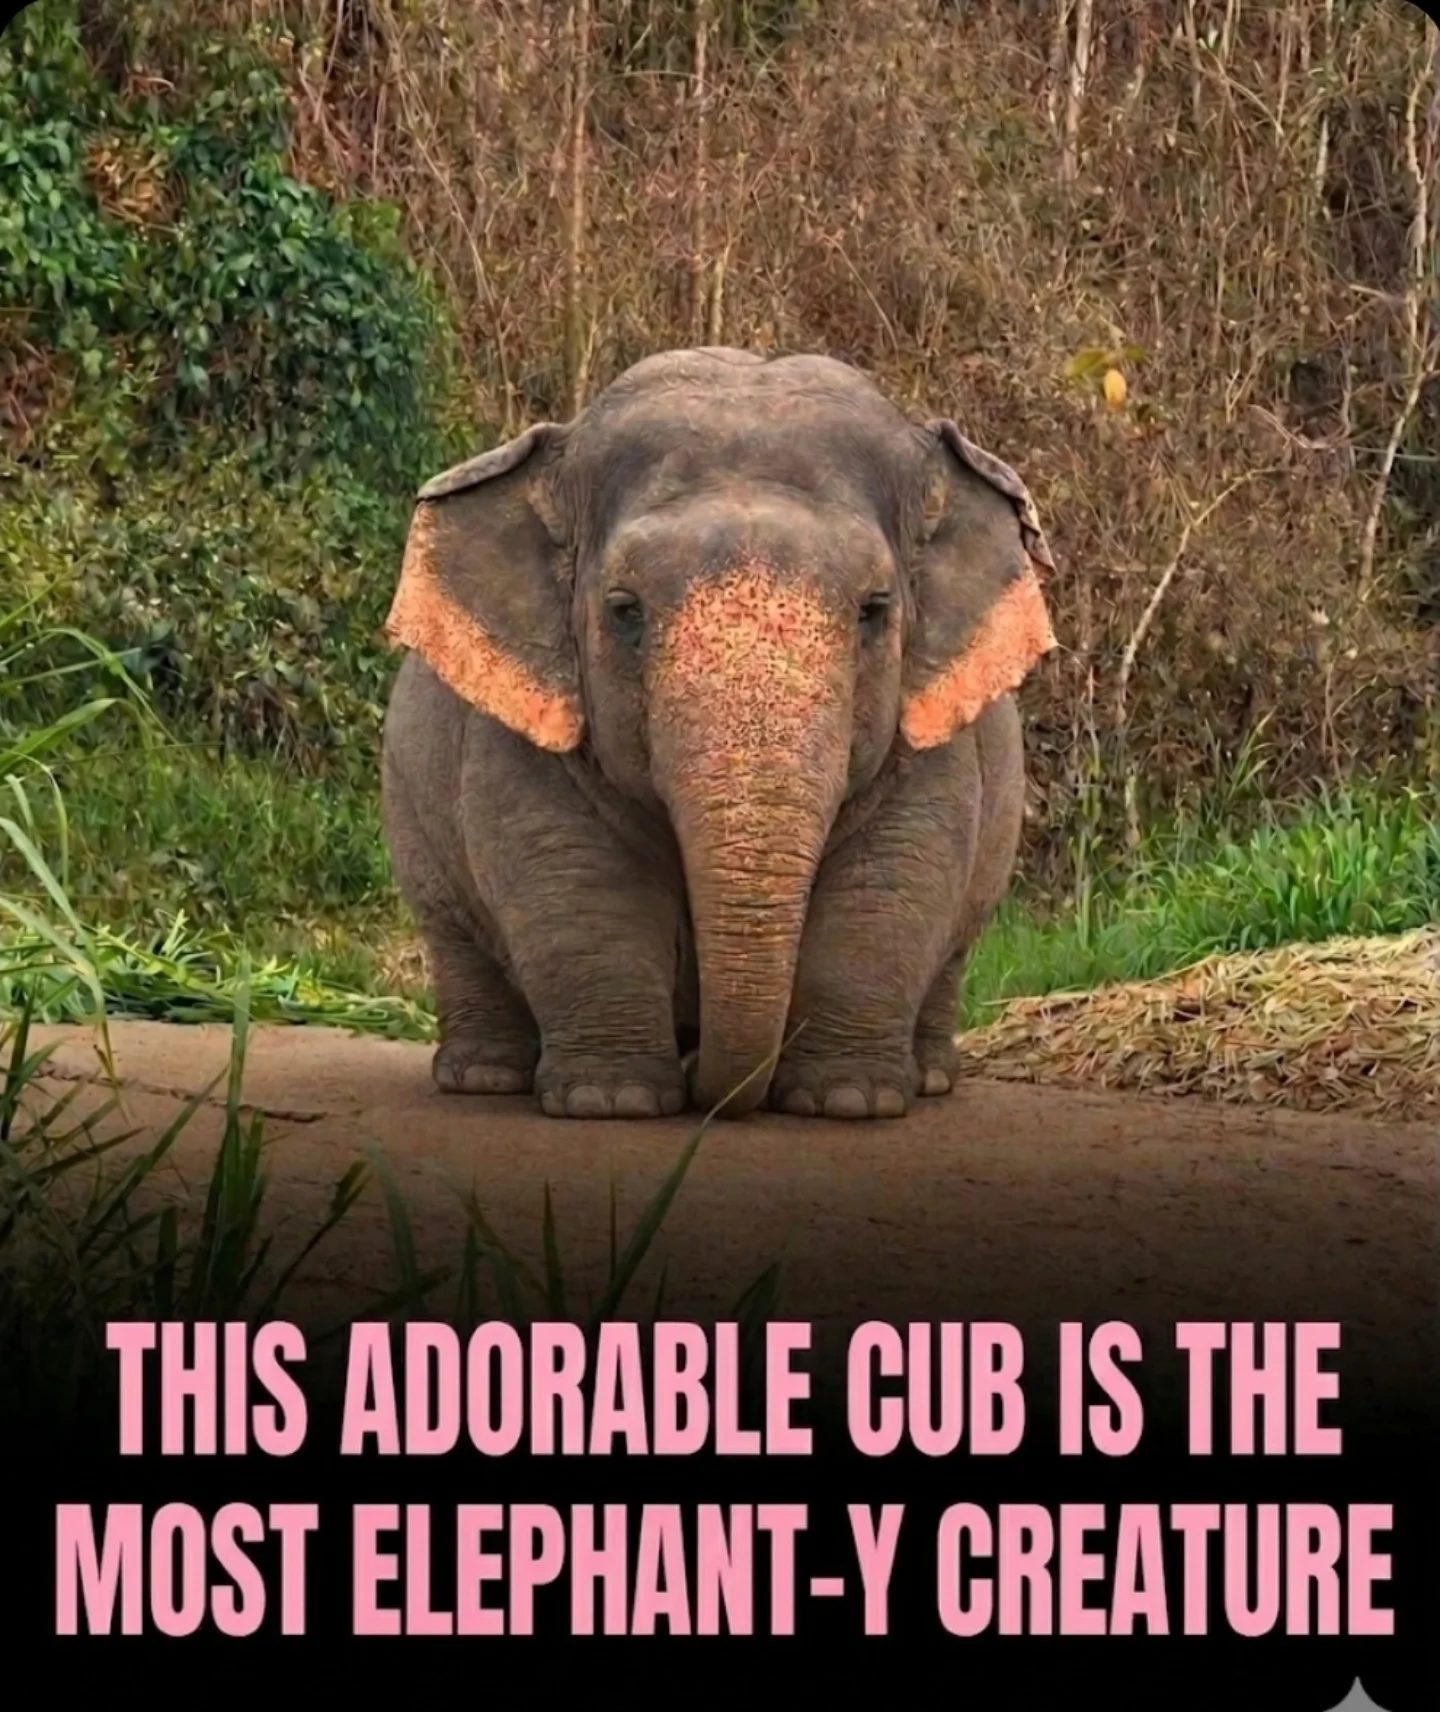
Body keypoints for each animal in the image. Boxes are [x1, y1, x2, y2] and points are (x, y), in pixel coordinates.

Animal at [380, 347, 1057, 1121]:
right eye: (624, 609)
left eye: (875, 609)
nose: (711, 1086)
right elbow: (577, 878)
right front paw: (610, 1101)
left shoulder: (931, 726)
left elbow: (891, 879)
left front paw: (848, 1101)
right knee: (454, 932)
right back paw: (484, 1077)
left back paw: (933, 1078)